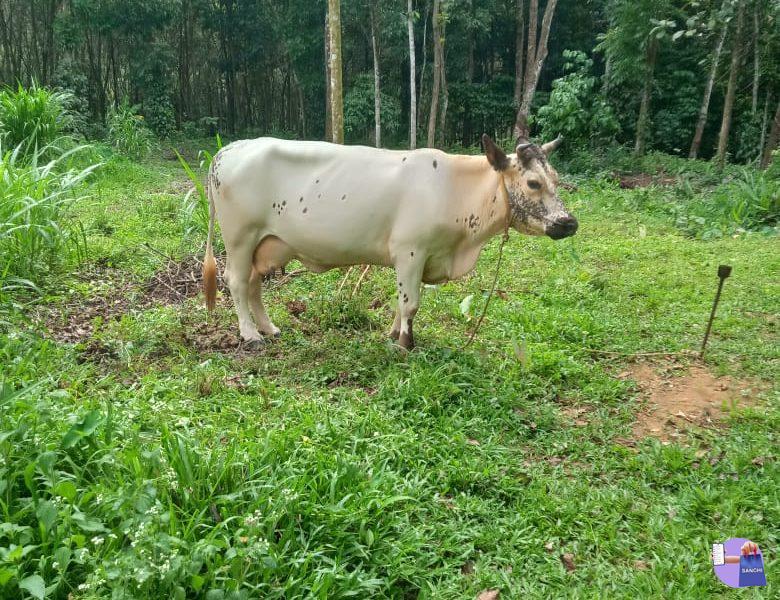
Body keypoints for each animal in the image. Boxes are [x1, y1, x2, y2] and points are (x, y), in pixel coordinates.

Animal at [204, 134, 576, 350]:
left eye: (555, 178)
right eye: (532, 183)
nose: (568, 222)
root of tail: (227, 150)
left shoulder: (422, 257)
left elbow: (403, 302)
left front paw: (393, 335)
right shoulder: (410, 250)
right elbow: (410, 304)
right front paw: (406, 344)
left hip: (265, 244)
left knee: (254, 283)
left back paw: (268, 328)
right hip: (239, 237)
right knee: (236, 282)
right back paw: (250, 335)